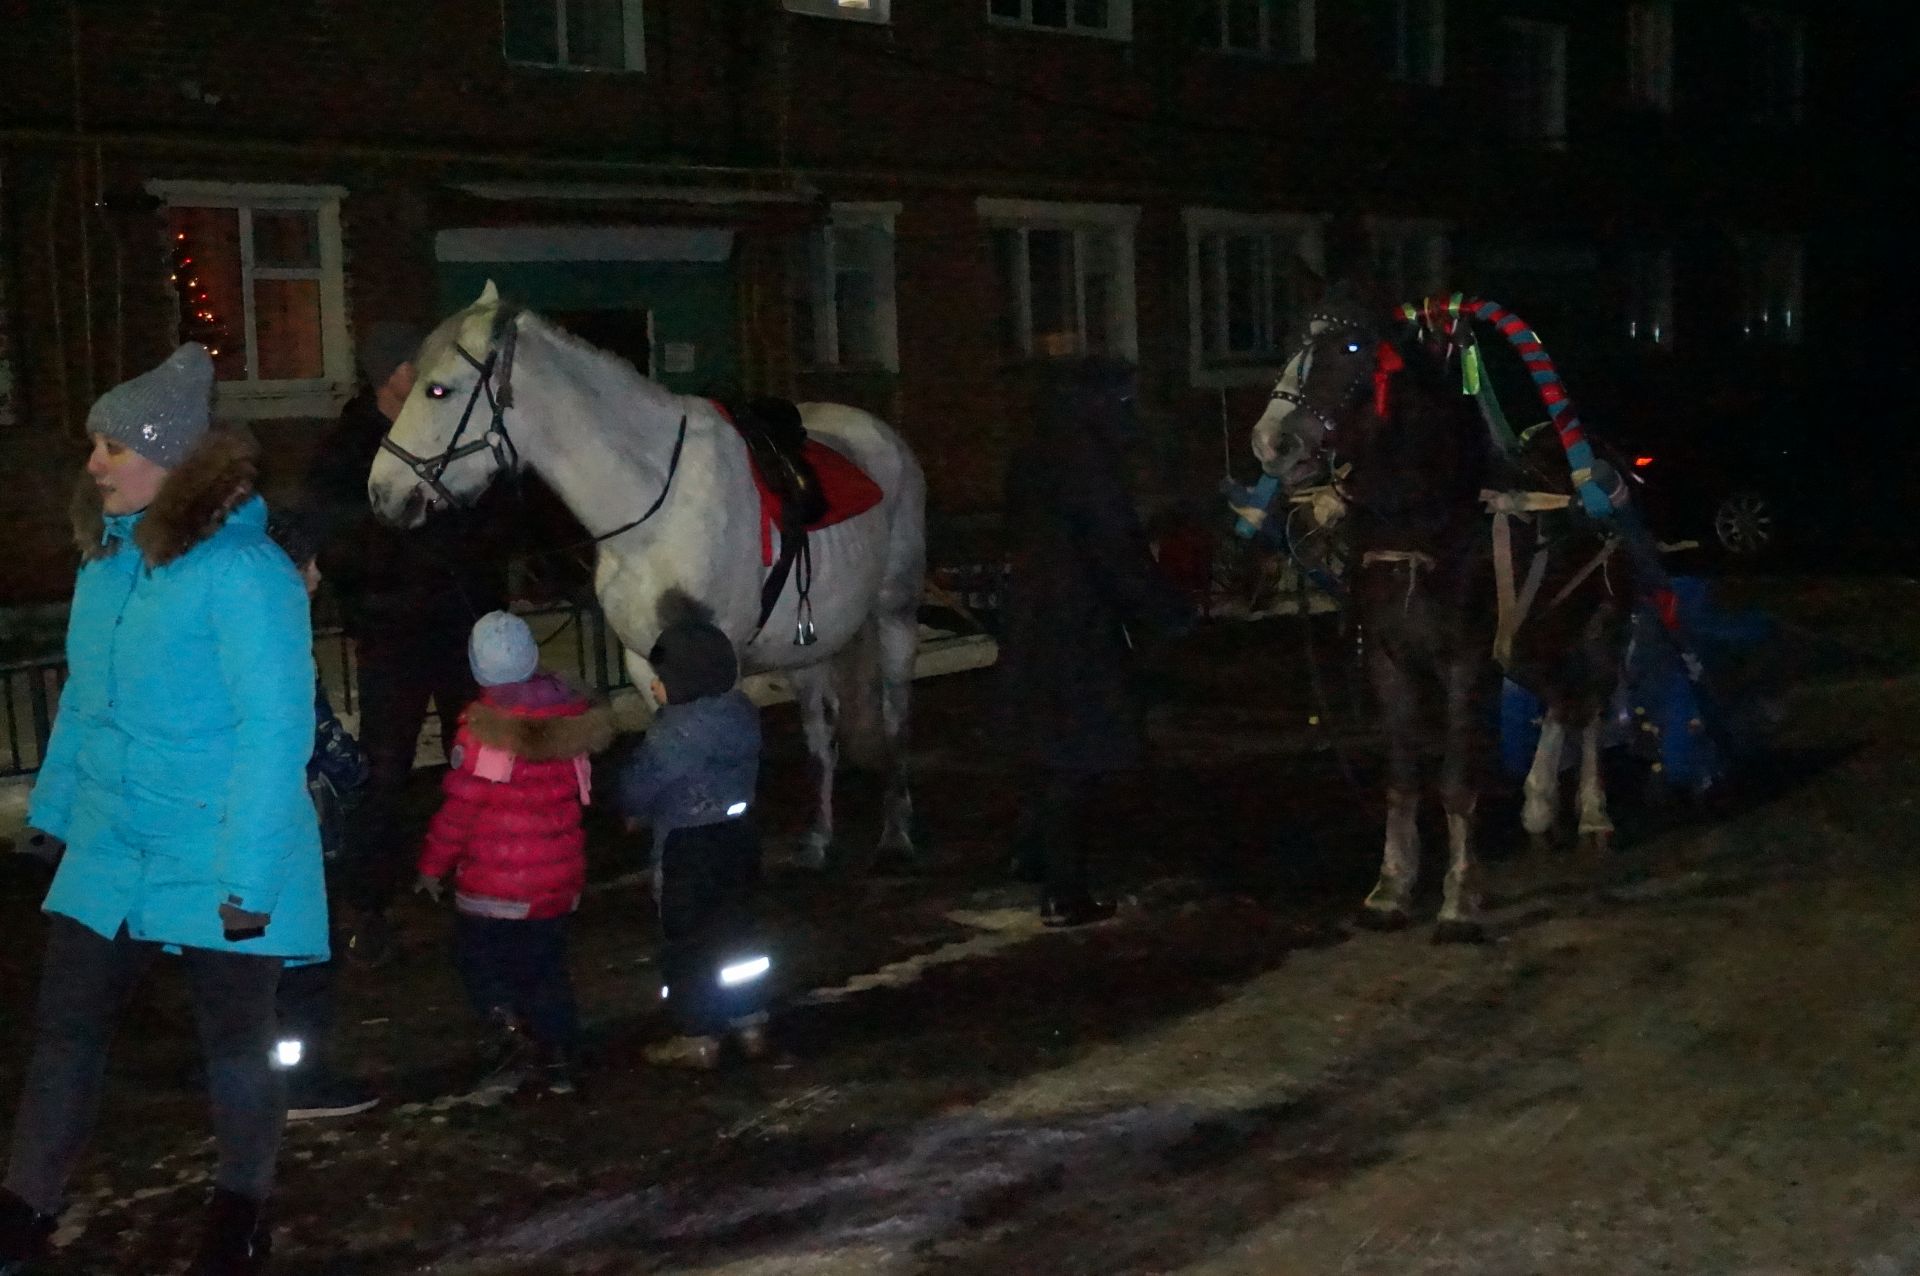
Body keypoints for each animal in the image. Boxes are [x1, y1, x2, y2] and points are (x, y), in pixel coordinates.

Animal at [372, 283, 929, 867]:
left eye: (438, 390)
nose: (381, 493)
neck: (654, 507)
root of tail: (884, 436)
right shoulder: (644, 663)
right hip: (809, 647)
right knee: (823, 736)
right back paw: (820, 838)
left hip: (895, 613)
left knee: (895, 717)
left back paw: (896, 835)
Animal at [1251, 295, 1628, 936]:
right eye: (1291, 341)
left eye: (1352, 347)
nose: (1270, 440)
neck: (1421, 529)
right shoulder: (1389, 661)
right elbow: (1403, 779)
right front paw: (1391, 889)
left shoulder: (1466, 663)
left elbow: (1455, 780)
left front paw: (1458, 898)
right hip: (1529, 642)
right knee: (1563, 699)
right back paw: (1538, 804)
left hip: (1601, 620)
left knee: (1594, 705)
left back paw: (1595, 814)